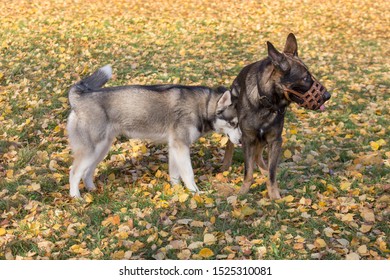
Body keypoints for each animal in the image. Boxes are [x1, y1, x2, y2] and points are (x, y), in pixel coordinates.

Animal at [67, 65, 241, 198]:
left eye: (240, 123)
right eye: (233, 123)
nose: (240, 141)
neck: (202, 106)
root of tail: (79, 97)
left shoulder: (174, 148)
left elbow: (175, 175)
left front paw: (177, 192)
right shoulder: (181, 146)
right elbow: (188, 174)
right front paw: (195, 193)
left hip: (101, 149)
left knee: (87, 172)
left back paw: (91, 189)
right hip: (92, 150)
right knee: (74, 172)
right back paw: (76, 197)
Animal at [222, 32, 330, 199]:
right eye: (306, 78)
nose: (327, 95)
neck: (266, 103)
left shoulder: (275, 140)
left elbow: (272, 172)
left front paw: (274, 196)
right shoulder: (248, 138)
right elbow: (248, 171)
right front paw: (243, 192)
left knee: (259, 155)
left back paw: (263, 170)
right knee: (231, 143)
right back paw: (226, 164)